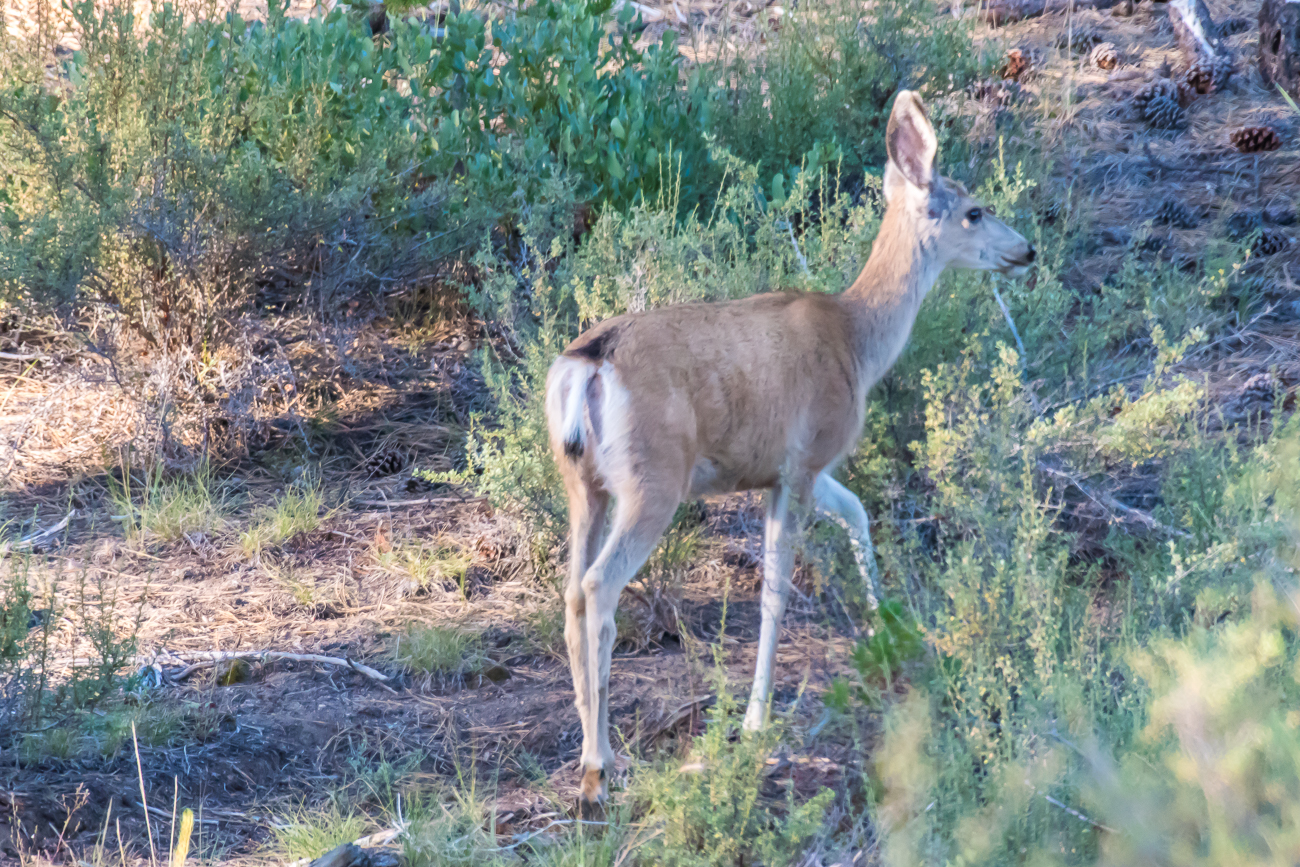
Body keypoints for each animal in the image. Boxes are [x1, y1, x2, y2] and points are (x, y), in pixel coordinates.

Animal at [543, 89, 1029, 805]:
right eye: (974, 210)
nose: (1025, 249)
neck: (857, 340)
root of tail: (588, 364)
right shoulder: (804, 457)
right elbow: (774, 590)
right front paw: (756, 718)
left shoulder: (791, 466)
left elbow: (857, 511)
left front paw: (887, 625)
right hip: (653, 478)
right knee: (599, 586)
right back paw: (600, 765)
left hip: (584, 484)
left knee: (571, 591)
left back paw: (588, 754)